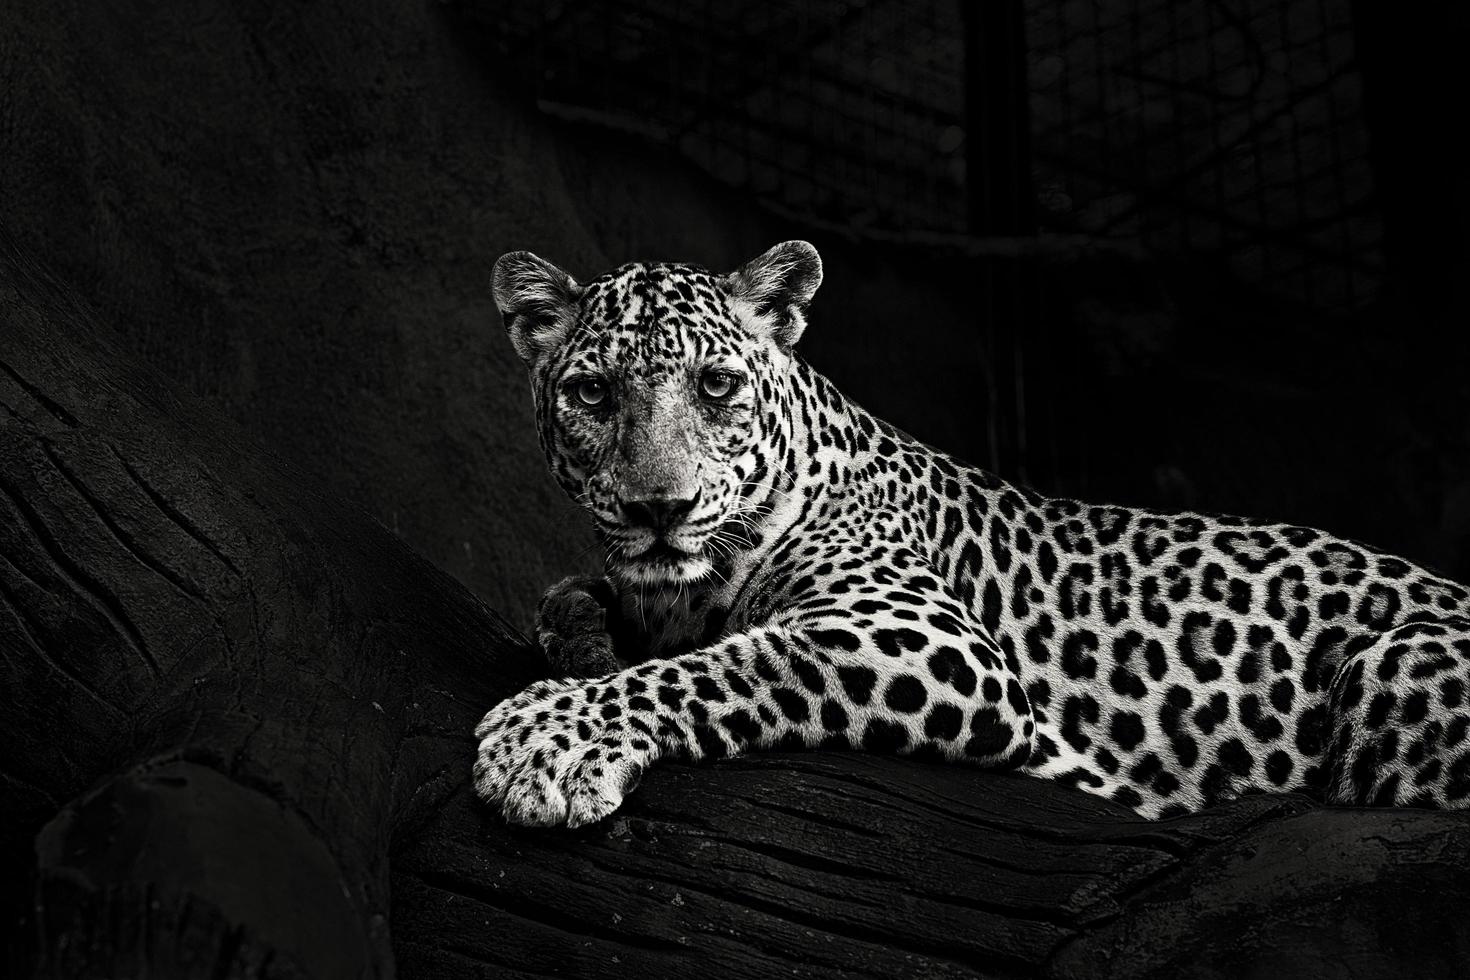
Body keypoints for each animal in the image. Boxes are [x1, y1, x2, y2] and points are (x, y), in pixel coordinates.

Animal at [473, 239, 1470, 828]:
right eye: (592, 393)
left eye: (715, 386)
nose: (660, 508)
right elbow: (571, 603)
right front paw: (585, 646)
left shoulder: (924, 638)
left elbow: (734, 663)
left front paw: (543, 739)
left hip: (1394, 666)